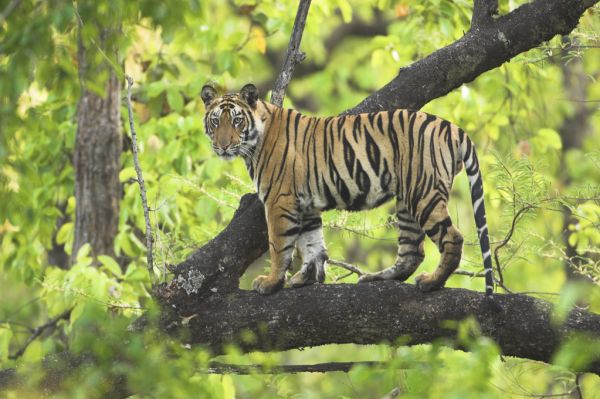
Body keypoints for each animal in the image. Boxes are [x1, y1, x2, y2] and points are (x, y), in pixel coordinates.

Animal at [199, 83, 494, 298]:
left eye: (237, 121)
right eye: (215, 122)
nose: (223, 145)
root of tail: (452, 128)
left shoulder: (279, 201)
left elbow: (279, 246)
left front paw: (271, 282)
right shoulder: (305, 204)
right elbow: (312, 243)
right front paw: (306, 278)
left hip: (423, 192)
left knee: (453, 238)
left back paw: (432, 282)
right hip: (407, 200)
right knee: (412, 251)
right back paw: (377, 277)